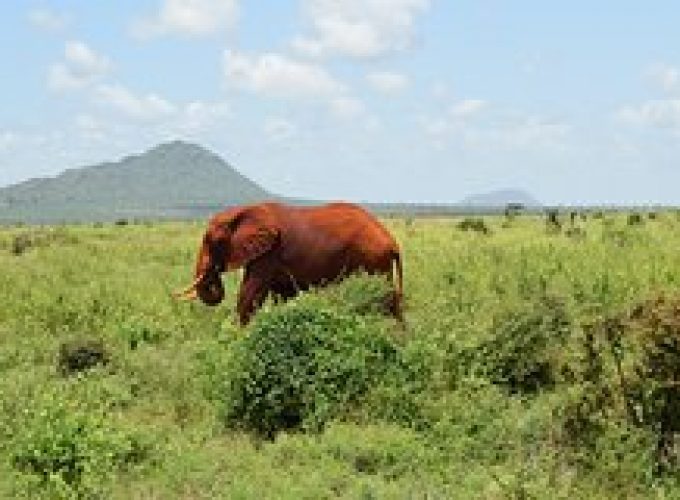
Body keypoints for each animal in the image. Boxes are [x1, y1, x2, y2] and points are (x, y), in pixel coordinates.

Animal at [173, 201, 404, 326]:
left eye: (212, 241)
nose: (215, 269)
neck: (244, 211)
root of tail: (392, 242)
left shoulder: (269, 252)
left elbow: (250, 294)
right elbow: (281, 296)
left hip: (371, 260)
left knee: (380, 300)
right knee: (391, 302)